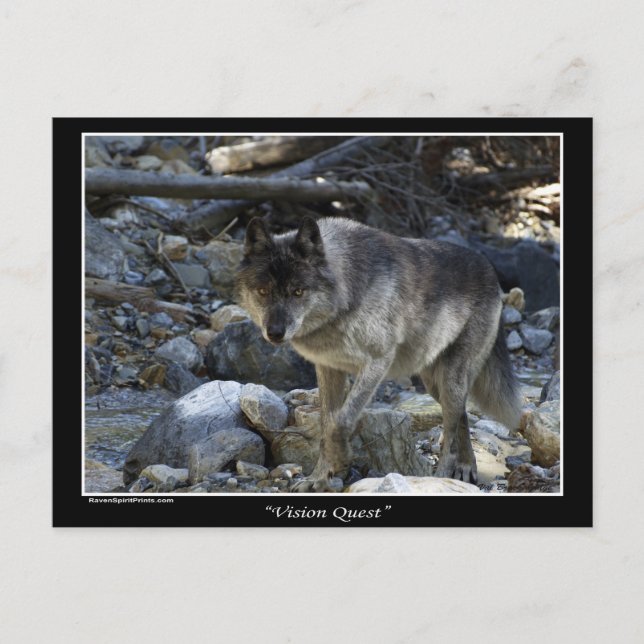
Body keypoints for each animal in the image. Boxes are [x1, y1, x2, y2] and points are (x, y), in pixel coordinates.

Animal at [236, 215, 522, 492]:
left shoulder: (377, 362)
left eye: (298, 292)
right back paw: (466, 467)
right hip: (435, 385)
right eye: (263, 291)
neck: (346, 295)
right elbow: (327, 425)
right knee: (462, 415)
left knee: (450, 431)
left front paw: (341, 460)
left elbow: (341, 422)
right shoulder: (329, 368)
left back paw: (442, 477)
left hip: (451, 380)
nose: (275, 333)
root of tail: (489, 269)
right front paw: (318, 478)